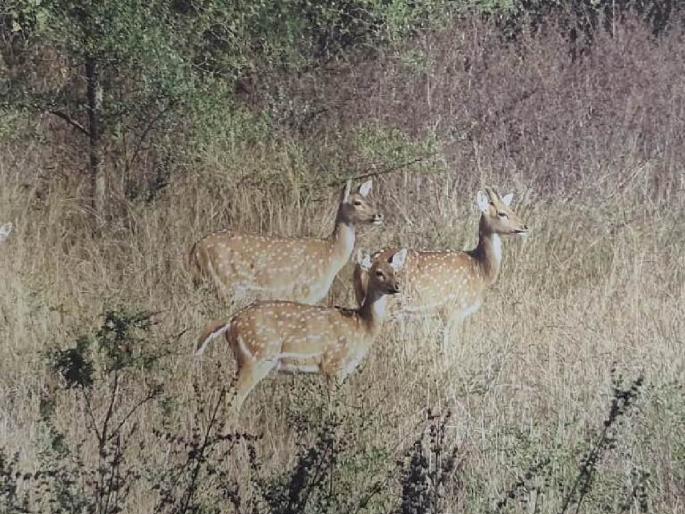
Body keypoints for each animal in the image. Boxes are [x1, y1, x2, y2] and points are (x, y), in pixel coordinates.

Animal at [188, 179, 383, 306]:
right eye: (357, 202)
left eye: (369, 200)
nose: (379, 215)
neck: (331, 255)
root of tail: (195, 250)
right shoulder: (303, 292)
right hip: (225, 283)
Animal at [195, 248, 407, 411]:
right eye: (378, 272)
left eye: (396, 272)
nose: (397, 287)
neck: (361, 326)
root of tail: (232, 321)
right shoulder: (333, 364)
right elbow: (333, 405)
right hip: (257, 356)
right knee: (234, 396)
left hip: (245, 359)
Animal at [353, 187, 528, 348]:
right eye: (502, 213)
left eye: (511, 209)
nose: (524, 227)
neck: (480, 270)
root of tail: (362, 269)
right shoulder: (454, 309)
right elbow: (449, 345)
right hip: (389, 305)